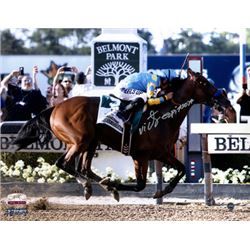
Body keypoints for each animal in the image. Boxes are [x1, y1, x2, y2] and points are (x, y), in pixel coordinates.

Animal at [12, 68, 235, 201]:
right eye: (204, 83)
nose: (227, 104)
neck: (163, 115)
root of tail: (55, 108)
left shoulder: (161, 153)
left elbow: (181, 169)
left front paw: (162, 191)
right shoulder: (141, 155)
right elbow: (140, 185)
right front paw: (117, 185)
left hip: (91, 142)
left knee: (84, 168)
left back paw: (100, 185)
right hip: (80, 140)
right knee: (64, 163)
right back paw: (93, 186)